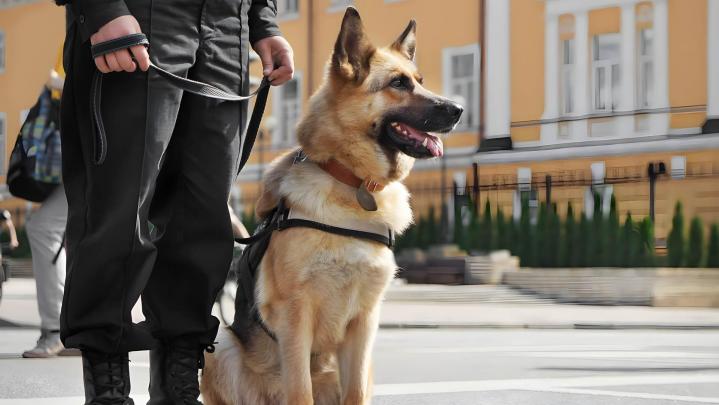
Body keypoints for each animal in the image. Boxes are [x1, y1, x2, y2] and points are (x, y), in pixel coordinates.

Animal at [200, 7, 464, 404]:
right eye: (398, 84)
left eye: (418, 81)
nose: (460, 108)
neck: (352, 183)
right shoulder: (295, 318)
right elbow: (300, 392)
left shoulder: (364, 325)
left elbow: (355, 393)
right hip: (220, 342)